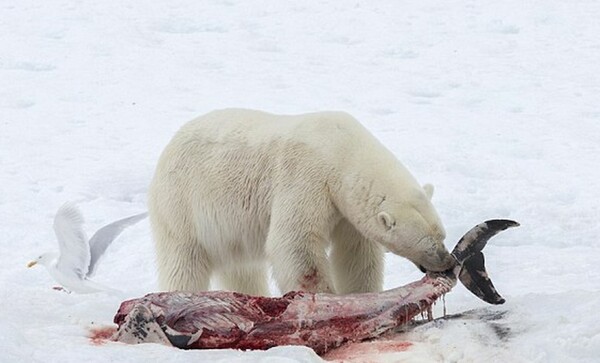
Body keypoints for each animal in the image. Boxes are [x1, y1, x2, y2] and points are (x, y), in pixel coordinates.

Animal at [148, 109, 452, 298]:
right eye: (426, 244)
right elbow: (295, 242)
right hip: (183, 204)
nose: (448, 262)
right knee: (184, 262)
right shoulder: (307, 177)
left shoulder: (345, 209)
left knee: (242, 269)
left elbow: (355, 253)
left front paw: (363, 294)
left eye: (442, 235)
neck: (341, 149)